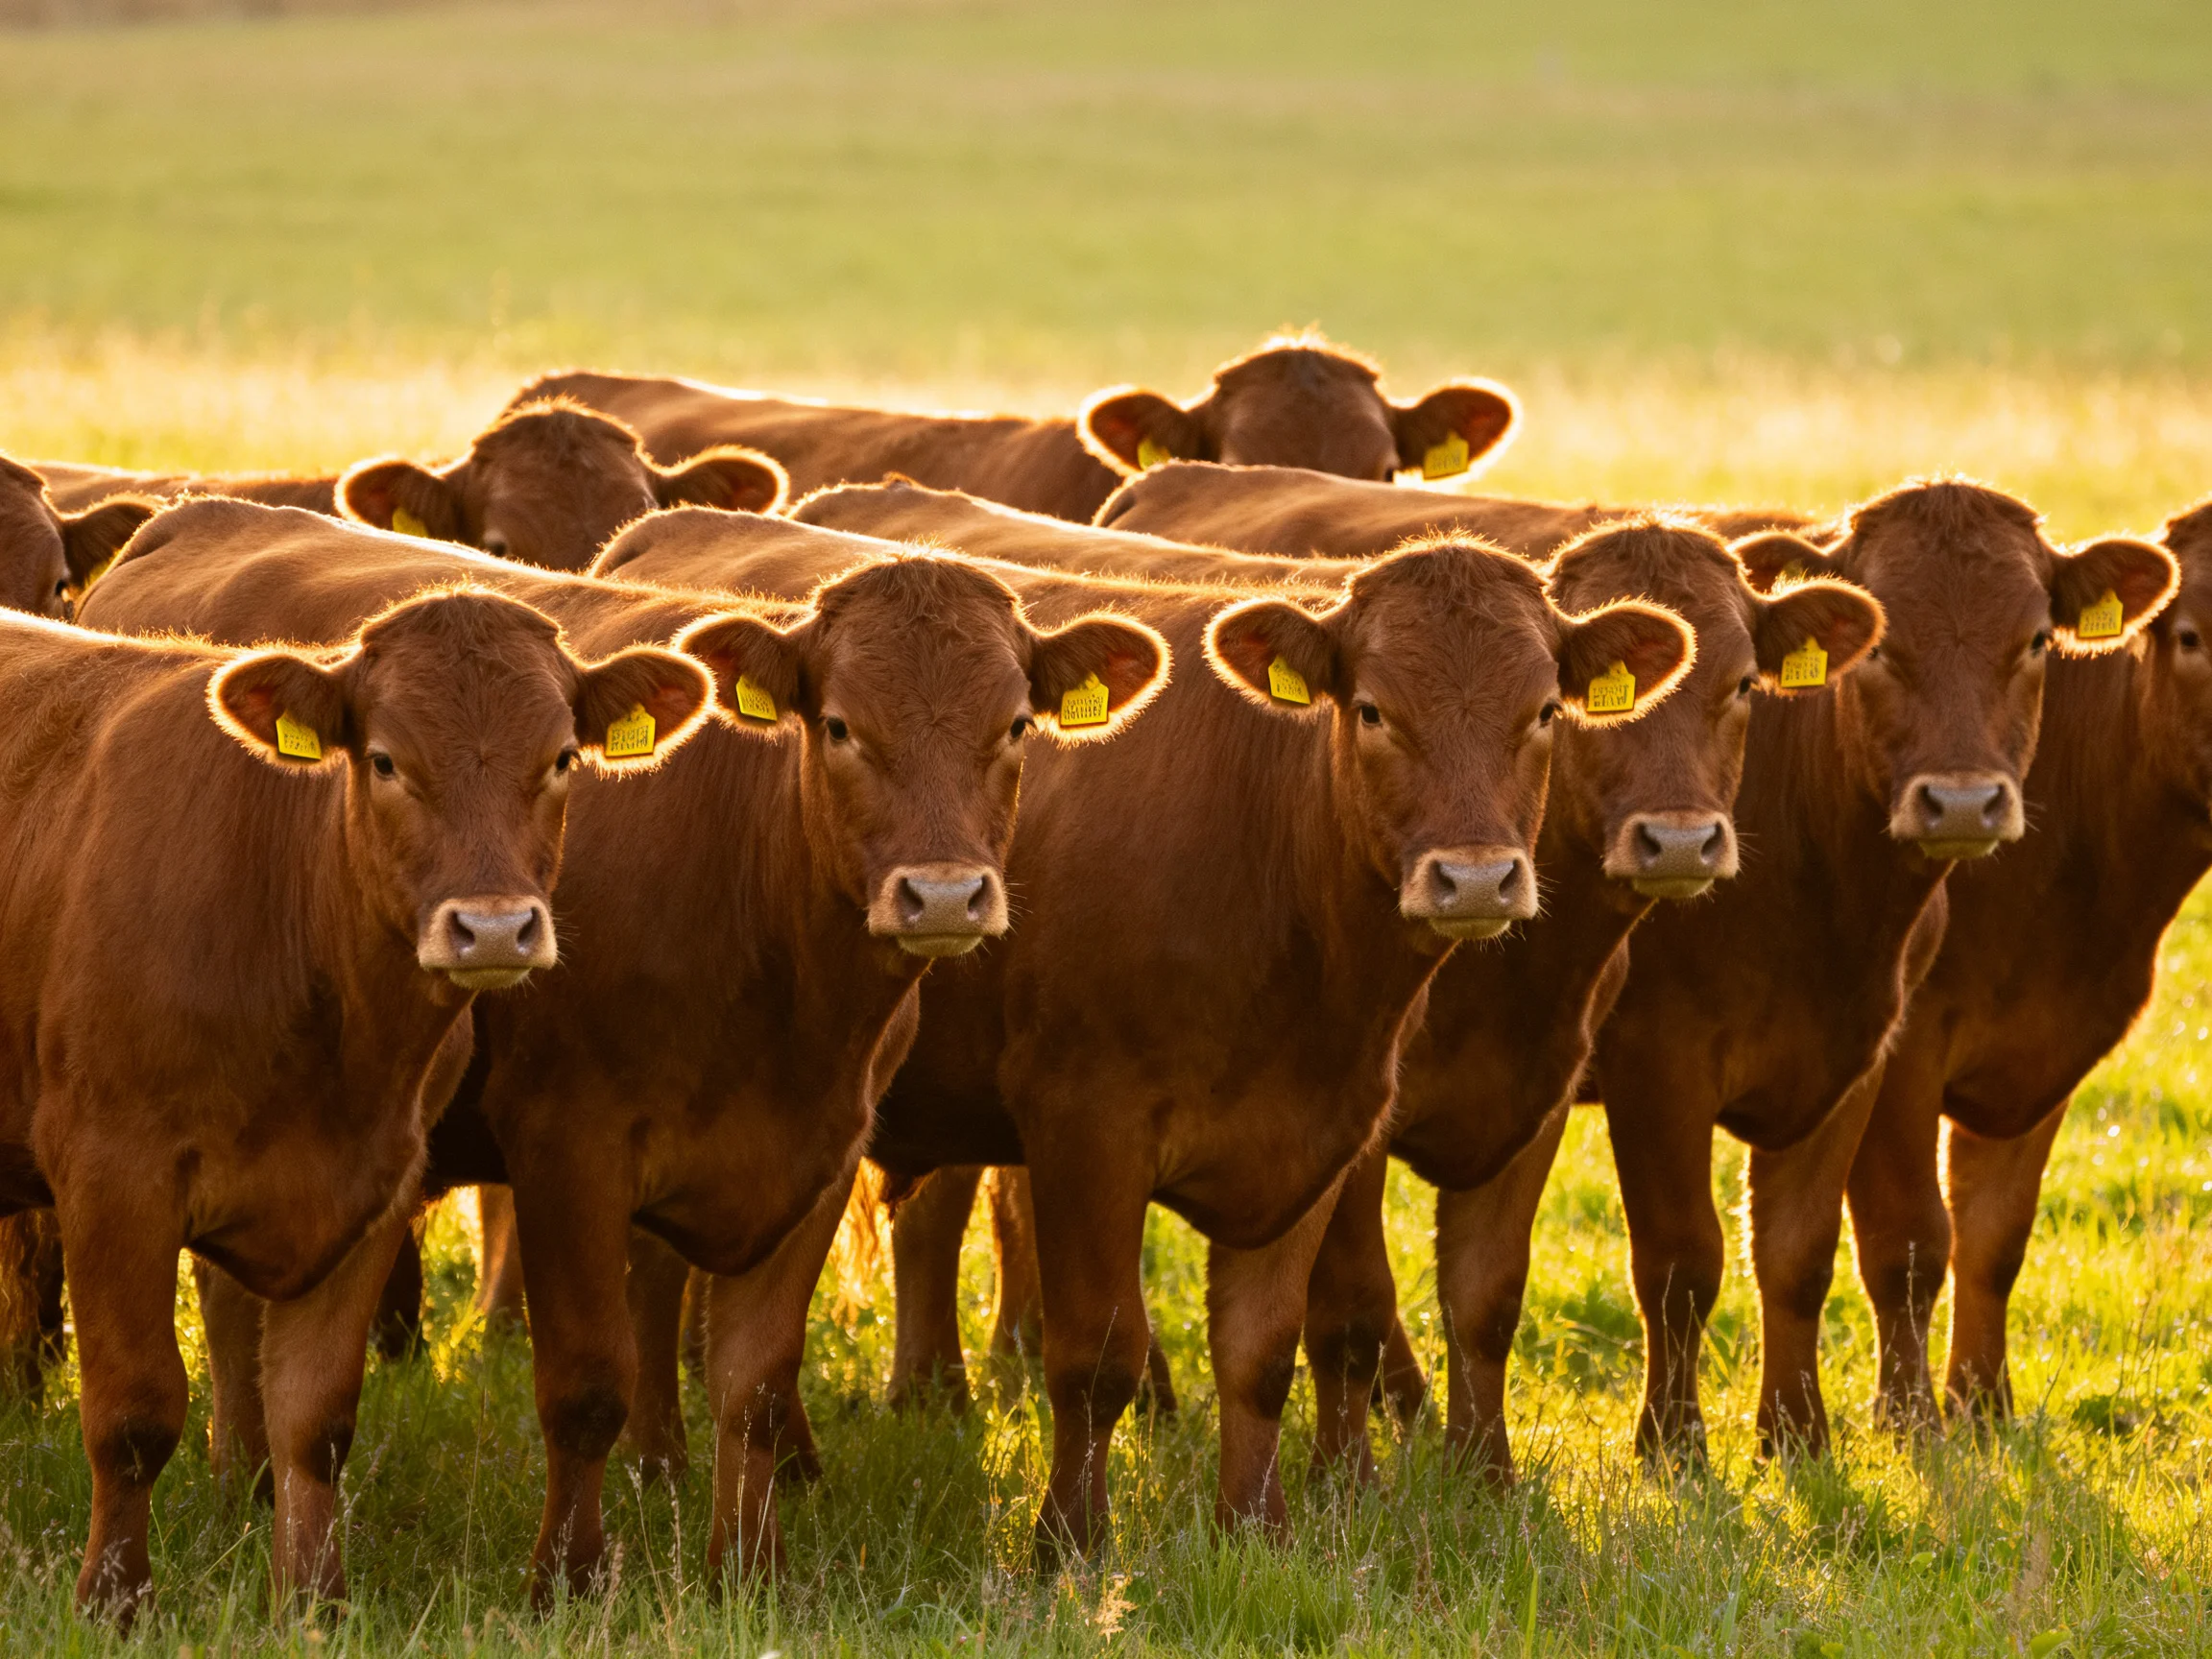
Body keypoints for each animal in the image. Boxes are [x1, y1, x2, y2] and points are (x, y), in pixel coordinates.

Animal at [0, 574, 716, 1619]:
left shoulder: (374, 1183)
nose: (493, 929)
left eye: (562, 757)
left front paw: (312, 1599)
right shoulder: (112, 1172)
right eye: (383, 759)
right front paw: (114, 1602)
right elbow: (133, 1412)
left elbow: (315, 1417)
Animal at [79, 498, 1170, 1604]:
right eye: (840, 725)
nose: (944, 895)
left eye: (1017, 726)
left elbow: (754, 1386)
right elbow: (588, 1381)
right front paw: (568, 1574)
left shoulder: (821, 1152)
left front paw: (750, 1569)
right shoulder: (568, 1143)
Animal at [597, 514, 1695, 1570]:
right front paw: (1071, 1545)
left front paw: (1260, 1531)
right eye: (1375, 710)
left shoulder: (1324, 1128)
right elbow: (1096, 1355)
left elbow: (1268, 1350)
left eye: (1544, 712)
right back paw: (665, 1464)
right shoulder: (1088, 1126)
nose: (1475, 878)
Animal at [1844, 495, 2212, 1427]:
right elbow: (1908, 1238)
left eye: (2039, 637)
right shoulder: (1897, 1048)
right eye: (2191, 635)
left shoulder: (2048, 1043)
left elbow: (1995, 1235)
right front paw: (1909, 1420)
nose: (1964, 803)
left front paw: (1982, 1406)